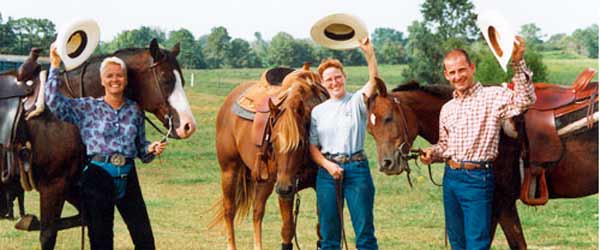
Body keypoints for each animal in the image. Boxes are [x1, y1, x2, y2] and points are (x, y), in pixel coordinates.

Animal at [2, 38, 197, 249]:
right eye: (166, 79)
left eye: (182, 81)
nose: (188, 126)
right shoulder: (53, 185)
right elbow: (48, 235)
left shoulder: (71, 185)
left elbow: (86, 221)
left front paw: (27, 222)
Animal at [213, 67, 328, 250]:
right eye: (273, 141)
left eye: (301, 142)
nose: (284, 188)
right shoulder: (286, 189)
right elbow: (287, 230)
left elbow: (322, 230)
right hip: (230, 170)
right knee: (229, 210)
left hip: (264, 181)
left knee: (257, 212)